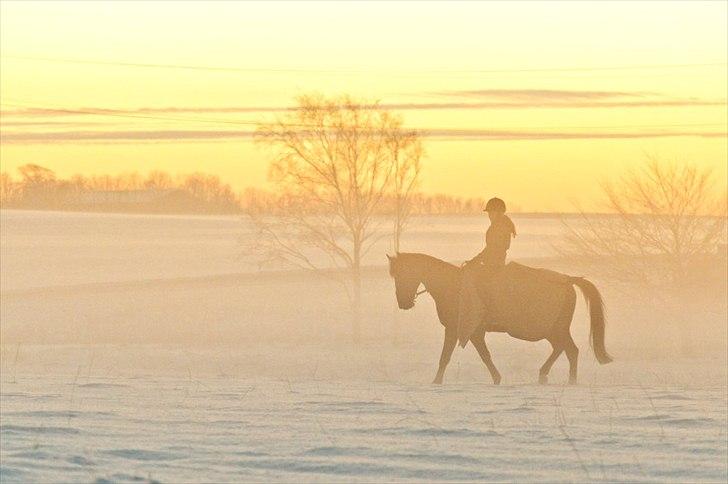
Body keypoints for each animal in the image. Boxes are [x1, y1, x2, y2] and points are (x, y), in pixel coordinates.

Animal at [386, 253, 616, 386]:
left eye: (402, 274)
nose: (403, 303)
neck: (452, 285)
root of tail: (567, 280)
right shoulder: (470, 332)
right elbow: (477, 355)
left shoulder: (461, 329)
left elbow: (457, 356)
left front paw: (436, 381)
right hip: (553, 329)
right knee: (565, 349)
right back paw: (551, 376)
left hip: (553, 328)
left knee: (569, 350)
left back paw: (566, 380)